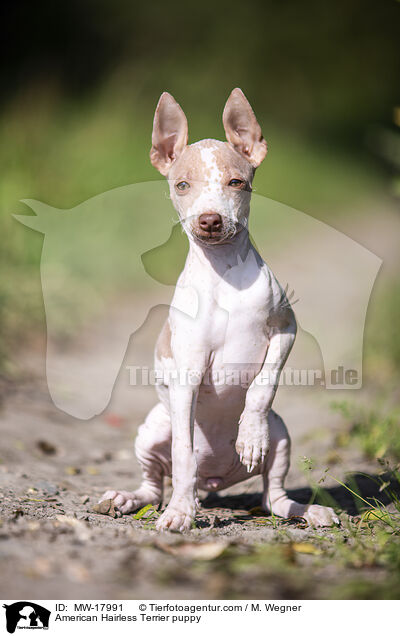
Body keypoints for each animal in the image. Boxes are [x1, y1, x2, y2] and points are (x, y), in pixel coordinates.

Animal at [99, 88, 338, 532]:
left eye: (236, 183)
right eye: (182, 185)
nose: (210, 220)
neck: (224, 274)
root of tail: (217, 481)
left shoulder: (286, 328)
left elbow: (261, 385)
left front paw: (250, 437)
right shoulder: (188, 372)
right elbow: (183, 454)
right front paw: (180, 513)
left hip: (282, 433)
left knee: (273, 496)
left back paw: (305, 508)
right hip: (154, 428)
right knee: (157, 485)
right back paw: (131, 498)